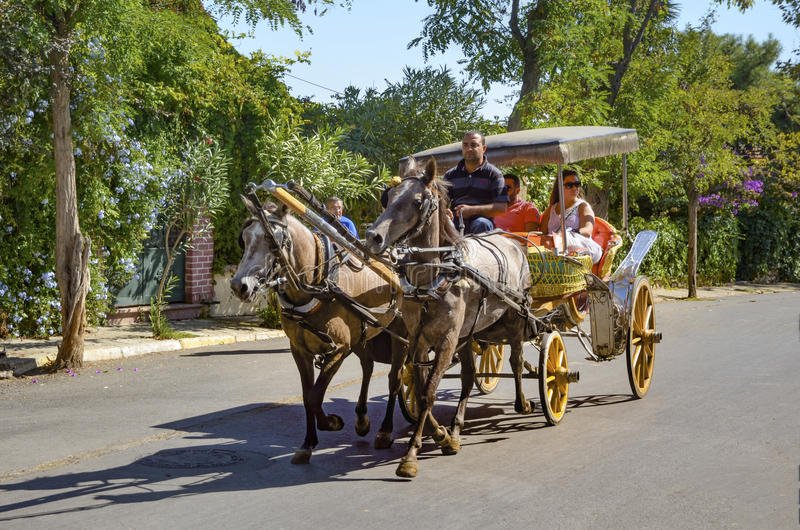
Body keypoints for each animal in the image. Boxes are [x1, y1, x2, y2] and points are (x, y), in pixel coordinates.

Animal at [230, 197, 406, 462]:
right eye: (244, 238)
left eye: (272, 240)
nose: (239, 285)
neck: (316, 284)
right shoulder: (300, 350)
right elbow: (307, 395)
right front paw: (308, 443)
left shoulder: (339, 349)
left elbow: (316, 395)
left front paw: (331, 423)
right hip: (362, 334)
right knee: (367, 366)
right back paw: (362, 419)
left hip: (401, 332)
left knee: (394, 379)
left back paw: (385, 431)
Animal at [366, 157, 536, 478]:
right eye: (387, 197)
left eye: (417, 201)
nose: (373, 236)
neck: (433, 278)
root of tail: (513, 243)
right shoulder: (419, 339)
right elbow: (421, 389)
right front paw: (441, 436)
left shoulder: (446, 339)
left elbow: (429, 392)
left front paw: (410, 456)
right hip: (468, 334)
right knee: (468, 378)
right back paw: (456, 428)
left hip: (515, 318)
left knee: (517, 361)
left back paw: (522, 403)